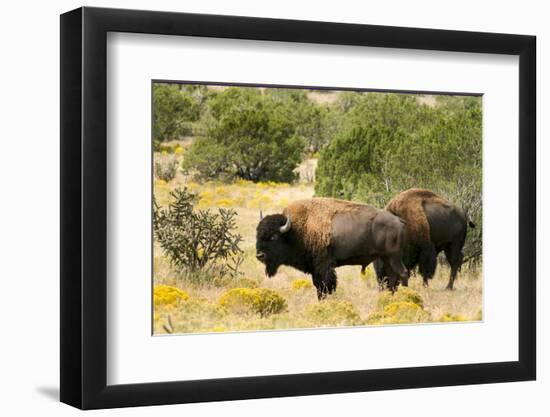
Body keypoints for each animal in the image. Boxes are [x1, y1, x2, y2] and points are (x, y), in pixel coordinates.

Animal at [256, 198, 410, 300]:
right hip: (386, 257)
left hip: (394, 256)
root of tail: (398, 220)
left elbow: (326, 286)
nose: (259, 255)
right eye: (257, 234)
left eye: (274, 236)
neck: (296, 231)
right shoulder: (315, 269)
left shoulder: (324, 266)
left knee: (403, 273)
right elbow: (319, 286)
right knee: (392, 277)